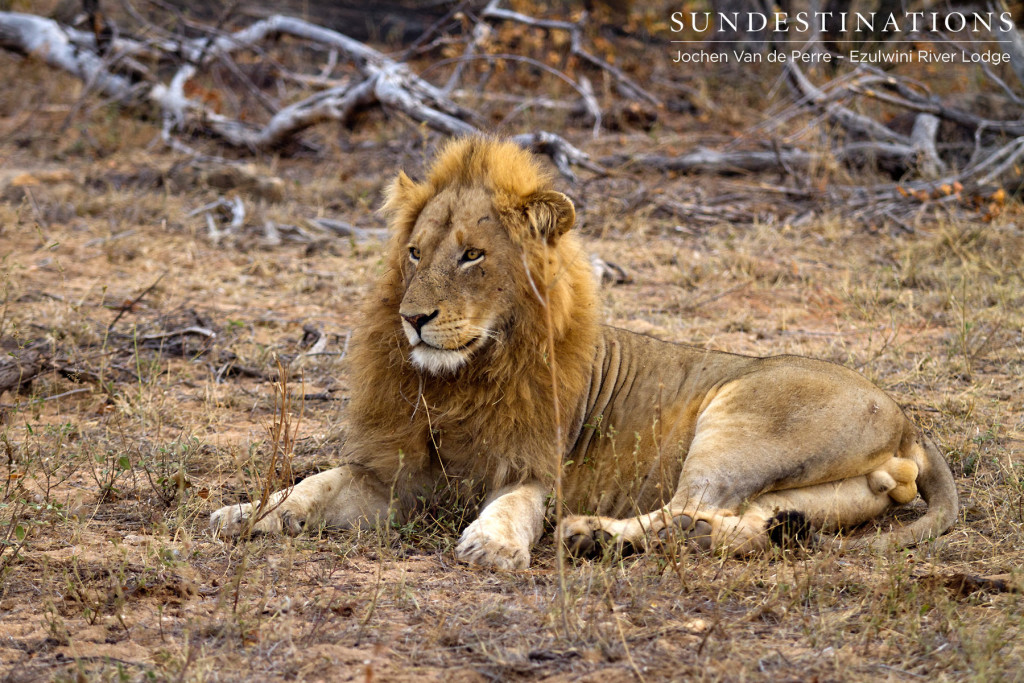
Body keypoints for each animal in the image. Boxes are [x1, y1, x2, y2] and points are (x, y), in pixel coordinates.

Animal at [209, 136, 958, 569]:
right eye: (416, 253)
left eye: (472, 255)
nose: (413, 319)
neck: (460, 379)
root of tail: (907, 420)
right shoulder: (393, 477)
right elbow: (311, 485)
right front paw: (246, 513)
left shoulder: (536, 463)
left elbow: (516, 503)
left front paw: (492, 544)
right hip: (828, 492)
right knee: (735, 521)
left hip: (739, 421)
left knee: (693, 505)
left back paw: (590, 535)